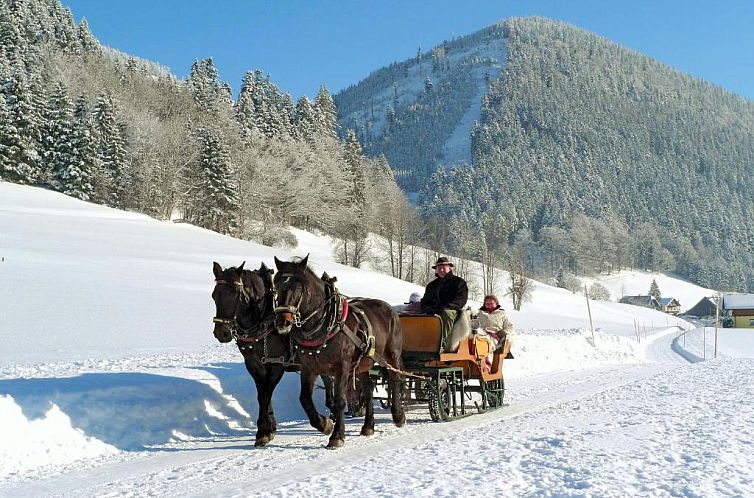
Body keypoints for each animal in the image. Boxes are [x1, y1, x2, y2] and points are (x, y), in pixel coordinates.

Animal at [274, 255, 406, 450]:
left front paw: (337, 436)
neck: (323, 324)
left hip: (392, 355)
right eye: (275, 286)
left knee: (394, 379)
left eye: (297, 287)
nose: (282, 321)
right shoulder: (309, 368)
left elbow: (340, 400)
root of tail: (390, 309)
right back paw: (368, 426)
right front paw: (324, 424)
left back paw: (398, 415)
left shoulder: (341, 367)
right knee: (368, 388)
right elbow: (305, 398)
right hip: (363, 363)